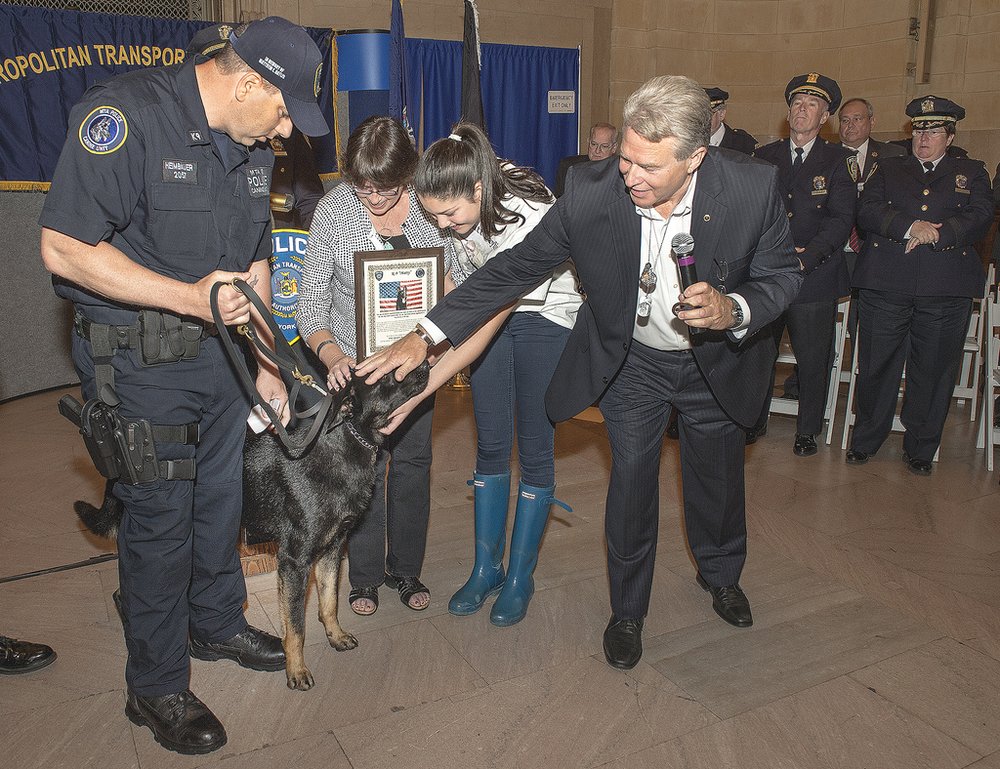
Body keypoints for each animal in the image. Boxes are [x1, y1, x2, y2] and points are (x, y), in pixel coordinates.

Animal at [73, 364, 426, 688]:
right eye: (388, 374)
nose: (424, 362)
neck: (341, 442)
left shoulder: (331, 550)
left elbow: (329, 603)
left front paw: (335, 636)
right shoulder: (294, 562)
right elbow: (295, 627)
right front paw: (296, 670)